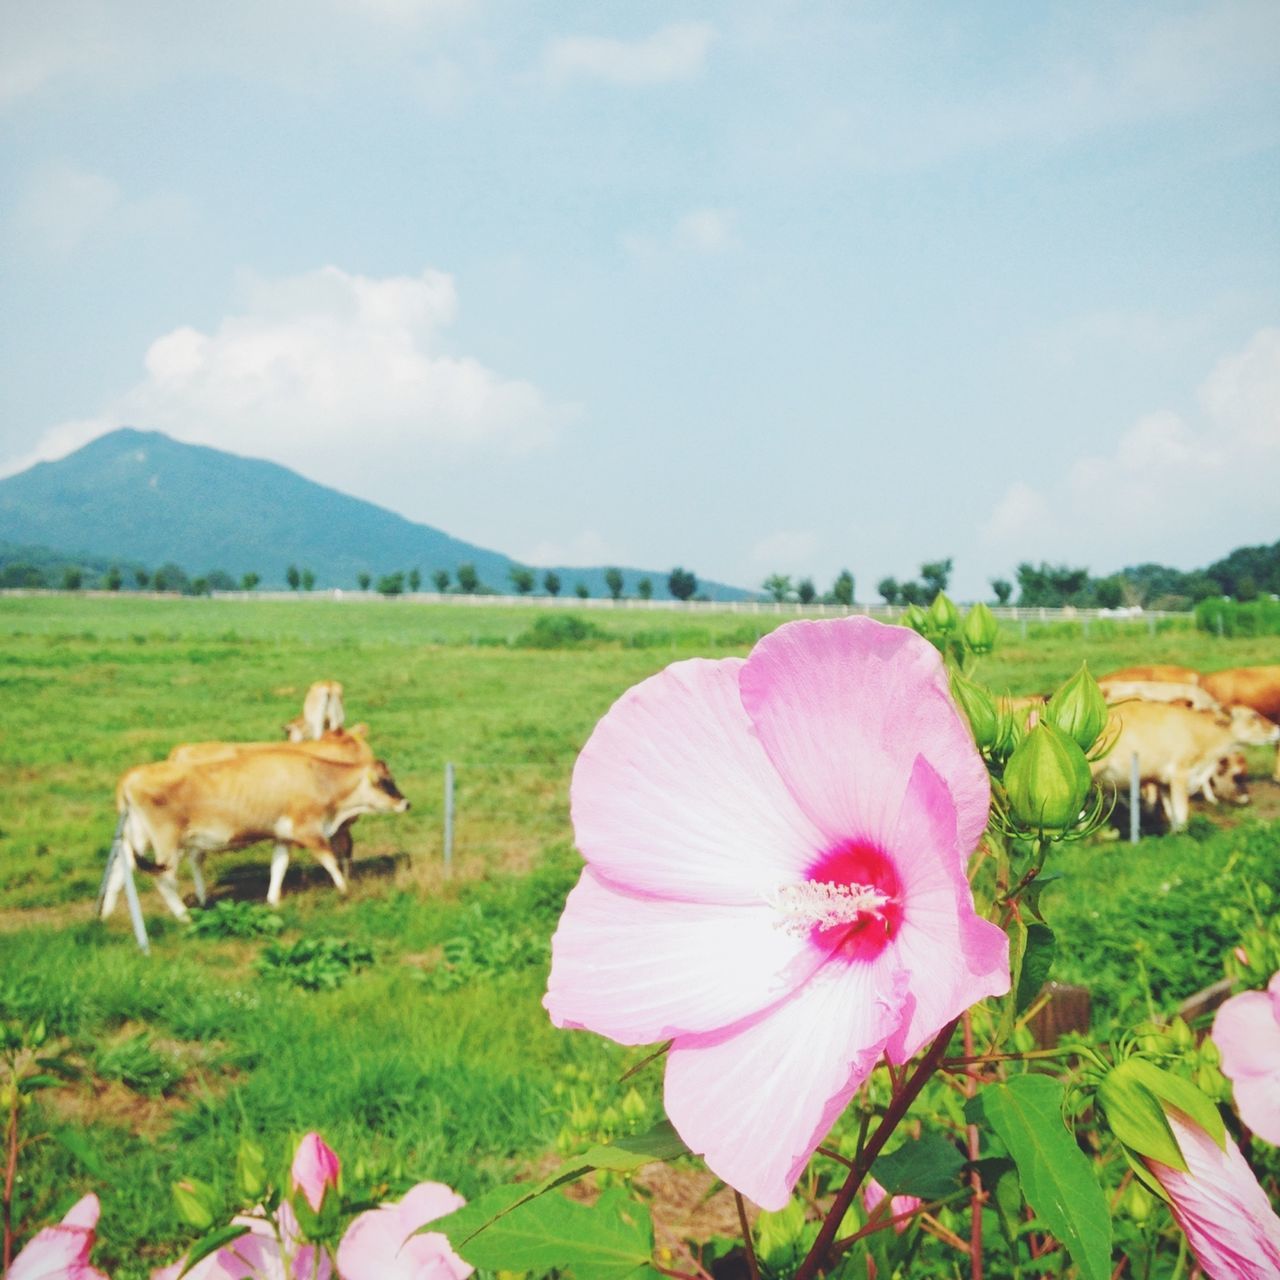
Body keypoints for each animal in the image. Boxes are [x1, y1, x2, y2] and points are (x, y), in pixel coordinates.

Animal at [101, 747, 407, 921]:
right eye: (386, 782)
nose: (406, 803)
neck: (318, 779)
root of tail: (132, 775)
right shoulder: (308, 830)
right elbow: (330, 860)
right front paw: (345, 889)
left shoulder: (282, 835)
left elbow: (278, 866)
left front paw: (273, 900)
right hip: (167, 843)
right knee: (163, 879)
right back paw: (184, 916)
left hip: (137, 837)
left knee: (119, 869)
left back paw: (104, 915)